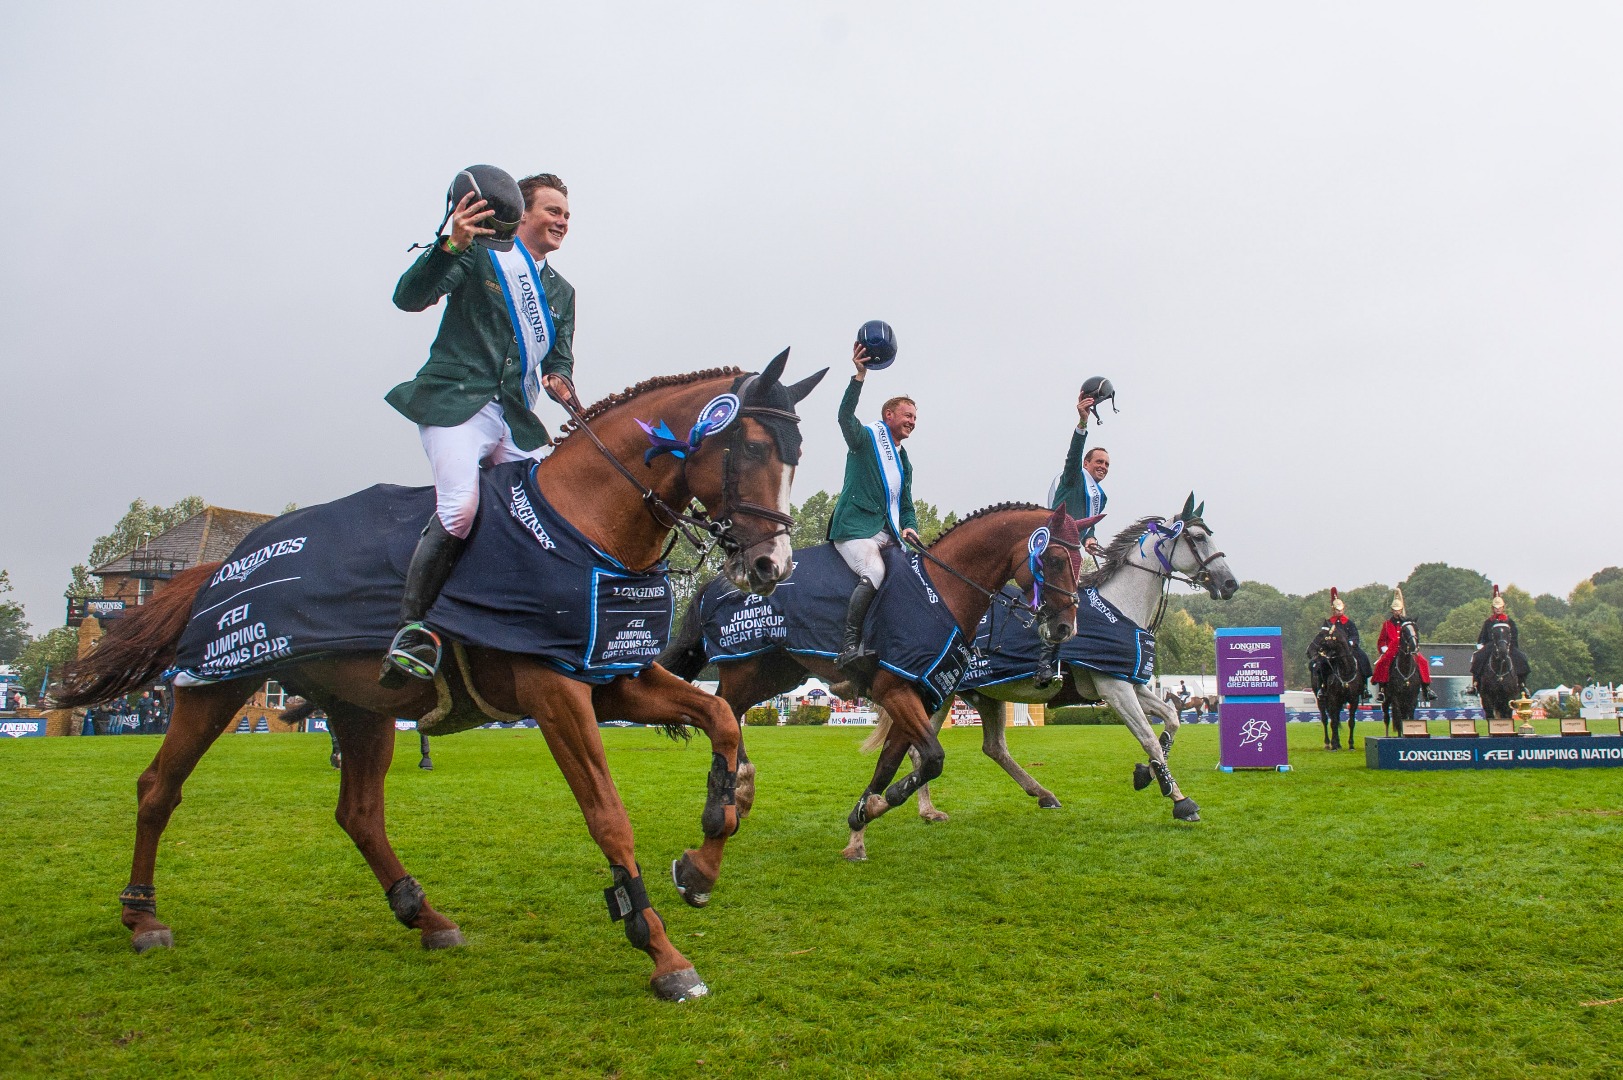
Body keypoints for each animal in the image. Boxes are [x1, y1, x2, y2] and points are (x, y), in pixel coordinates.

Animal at [53, 355, 824, 1000]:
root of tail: (225, 561)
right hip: (218, 684)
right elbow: (608, 815)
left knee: (359, 814)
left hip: (360, 707)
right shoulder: (554, 693)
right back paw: (143, 919)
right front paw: (660, 950)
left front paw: (702, 860)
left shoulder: (615, 677)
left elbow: (721, 723)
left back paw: (423, 914)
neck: (582, 530)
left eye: (794, 454)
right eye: (754, 448)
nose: (772, 567)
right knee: (159, 787)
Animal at [658, 500, 1090, 864]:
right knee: (722, 710)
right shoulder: (894, 691)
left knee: (729, 710)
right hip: (745, 666)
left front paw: (860, 825)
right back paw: (739, 790)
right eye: (1054, 558)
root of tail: (716, 582)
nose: (1065, 628)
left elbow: (891, 764)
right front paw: (882, 805)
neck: (942, 591)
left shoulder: (916, 694)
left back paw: (743, 789)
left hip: (776, 671)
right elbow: (931, 758)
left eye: (1081, 559)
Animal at [908, 500, 1233, 821]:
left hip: (987, 696)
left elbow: (1172, 719)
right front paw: (1180, 800)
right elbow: (1149, 738)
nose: (1229, 583)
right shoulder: (1114, 689)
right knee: (921, 749)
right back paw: (928, 809)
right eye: (1198, 538)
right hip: (941, 695)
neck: (1120, 609)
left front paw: (1147, 773)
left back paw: (1043, 794)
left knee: (994, 747)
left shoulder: (1132, 684)